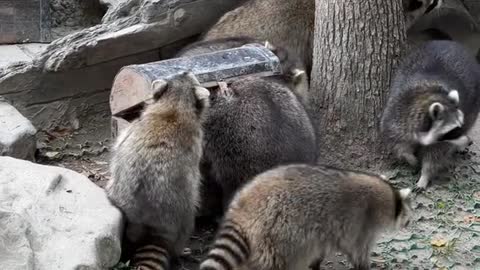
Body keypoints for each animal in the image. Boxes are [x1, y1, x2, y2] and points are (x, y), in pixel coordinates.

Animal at [105, 71, 210, 270]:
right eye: (186, 74)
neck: (174, 105)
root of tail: (150, 223)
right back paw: (180, 251)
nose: (187, 70)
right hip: (185, 210)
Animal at [199, 163, 412, 270]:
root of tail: (243, 204)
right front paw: (365, 266)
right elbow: (358, 252)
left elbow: (321, 249)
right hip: (277, 229)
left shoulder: (328, 231)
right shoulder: (361, 223)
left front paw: (316, 264)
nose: (409, 223)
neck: (389, 197)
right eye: (409, 217)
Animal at [378, 40, 480, 192]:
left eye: (459, 128)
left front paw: (425, 175)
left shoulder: (440, 142)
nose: (468, 142)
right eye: (452, 131)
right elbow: (398, 145)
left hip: (474, 102)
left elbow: (434, 157)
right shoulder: (396, 116)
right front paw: (410, 158)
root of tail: (452, 43)